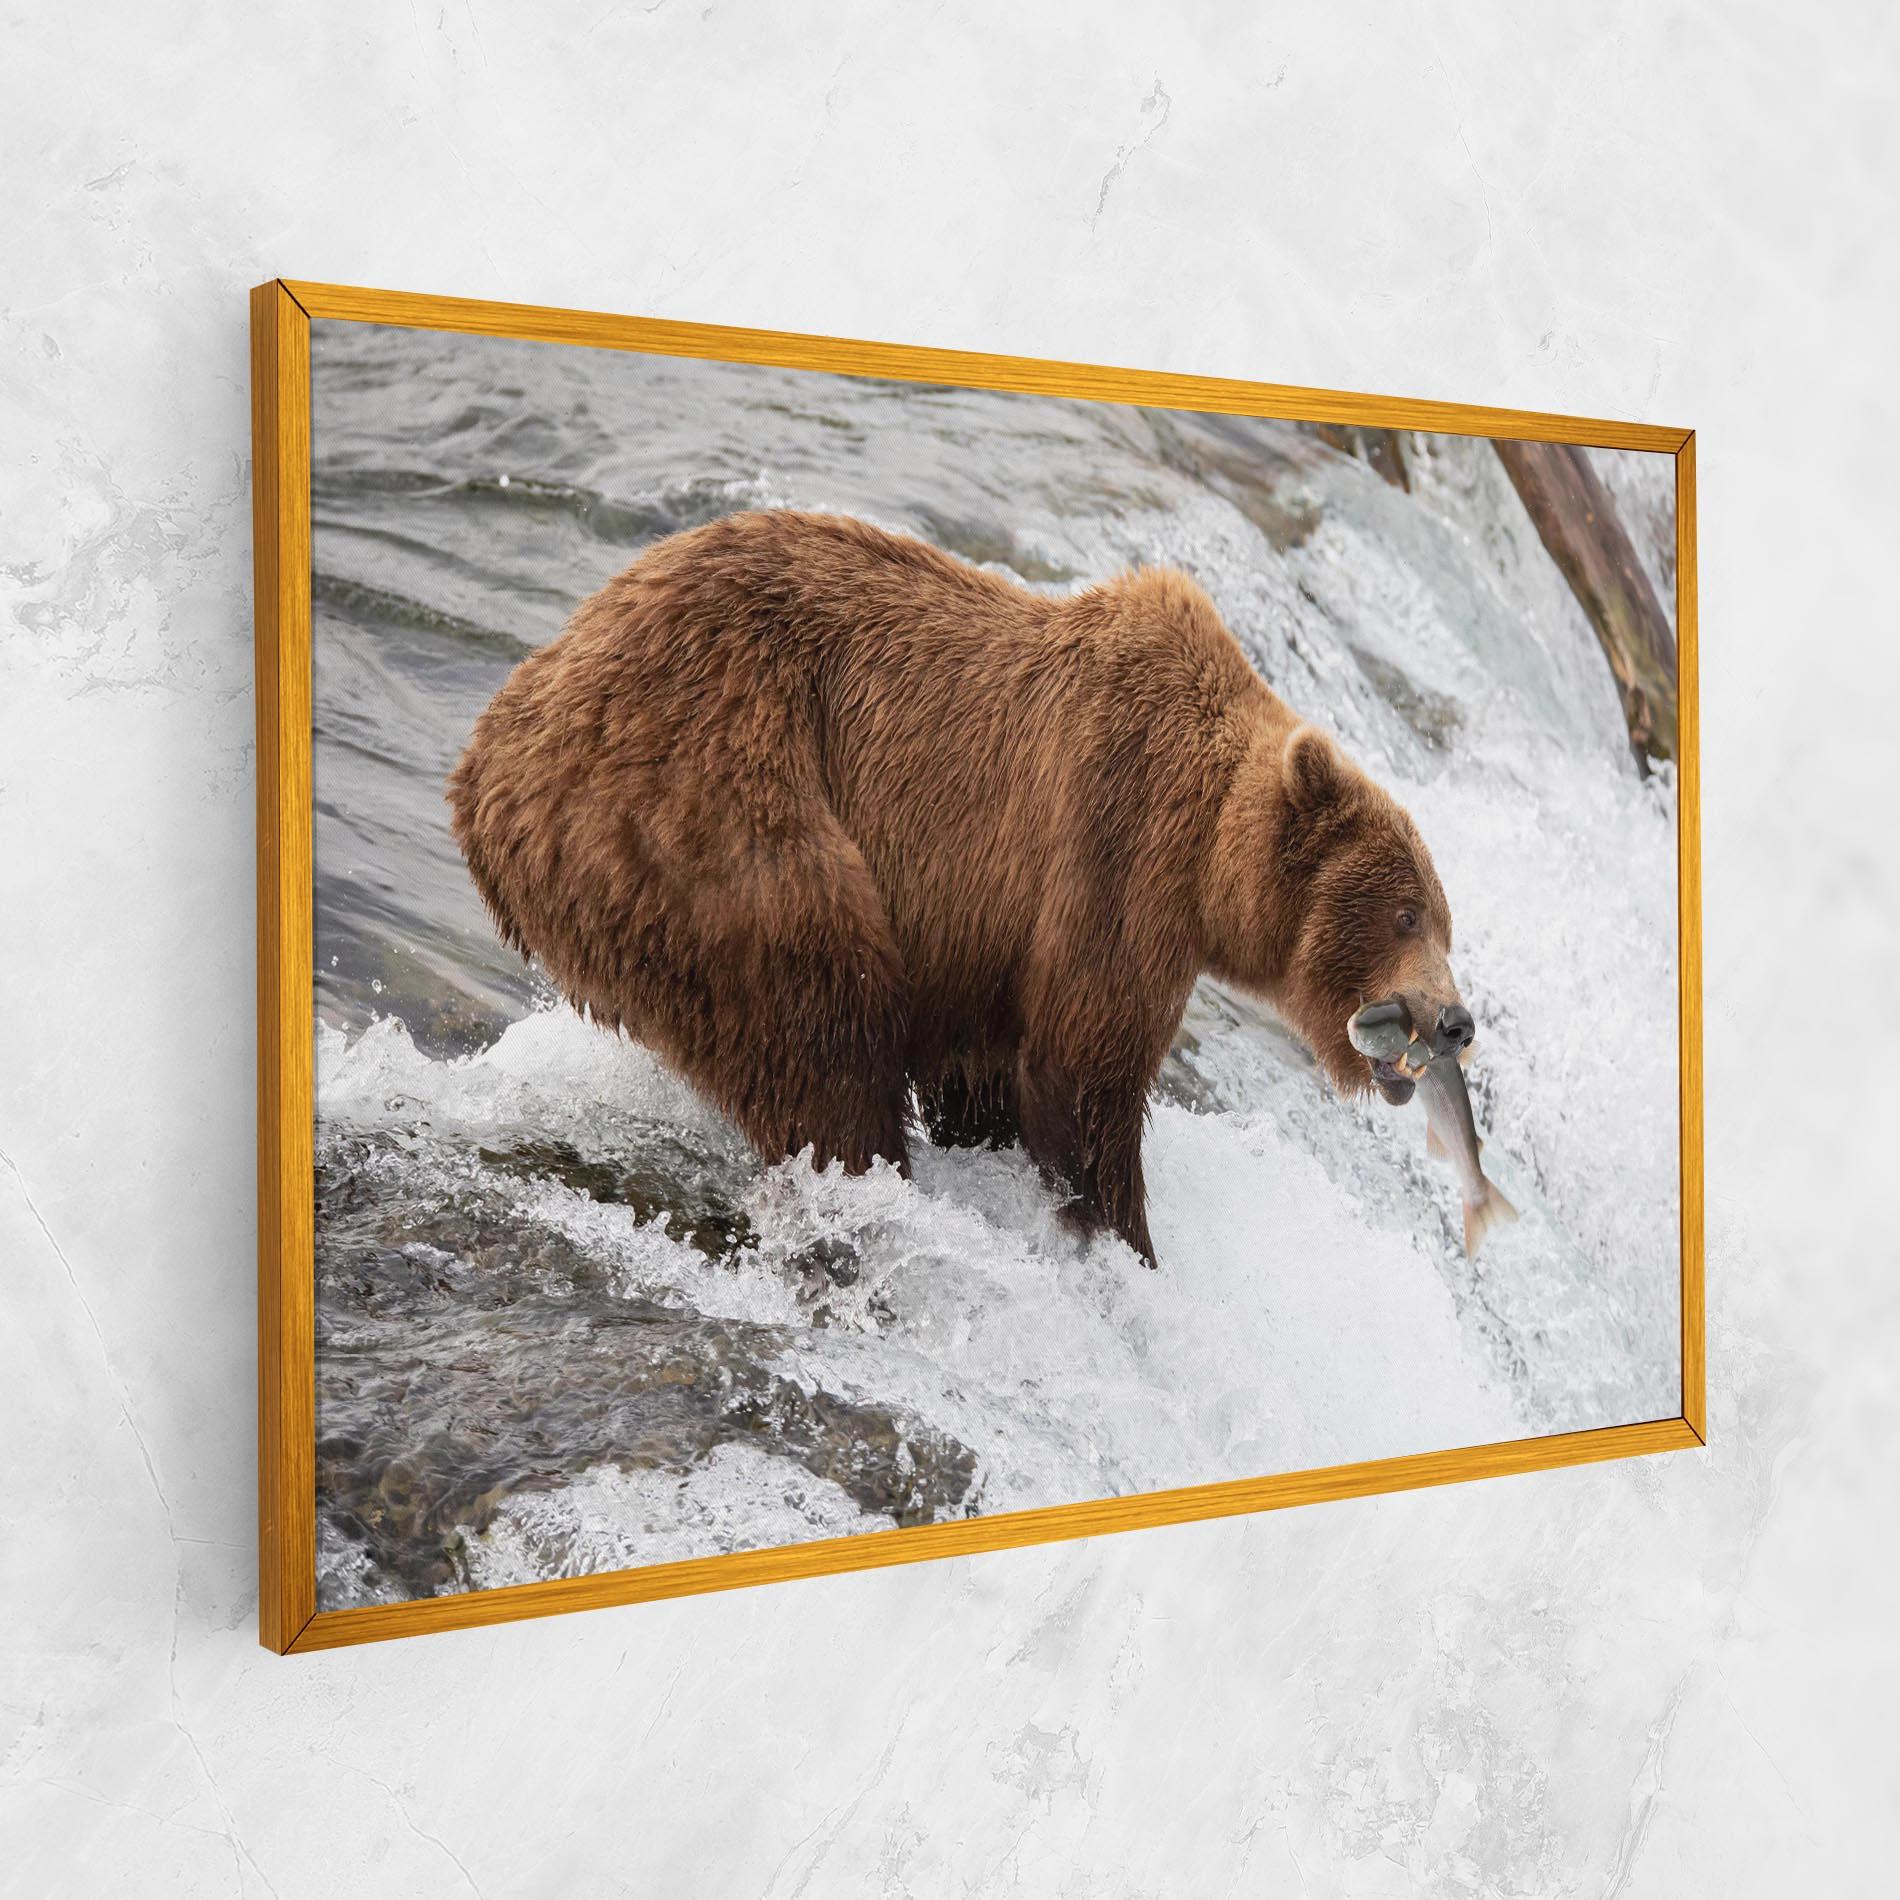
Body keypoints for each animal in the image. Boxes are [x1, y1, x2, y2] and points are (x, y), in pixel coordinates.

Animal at [447, 509, 1470, 1268]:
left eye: (1446, 923)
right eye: (1405, 912)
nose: (1455, 1020)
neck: (1209, 854)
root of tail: (489, 753)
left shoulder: (986, 936)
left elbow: (987, 1072)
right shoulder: (1114, 849)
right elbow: (1084, 1071)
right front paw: (1126, 1241)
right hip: (705, 798)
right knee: (822, 1015)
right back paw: (864, 1183)